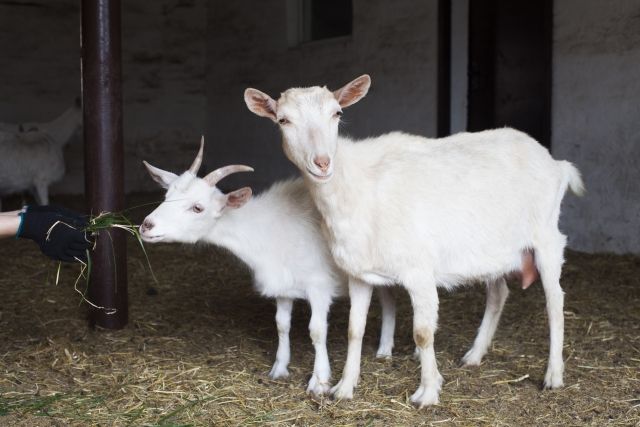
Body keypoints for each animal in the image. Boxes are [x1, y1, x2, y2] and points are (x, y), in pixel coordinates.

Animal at [139, 139, 398, 396]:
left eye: (197, 207)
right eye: (166, 195)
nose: (146, 226)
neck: (269, 229)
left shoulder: (319, 286)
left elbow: (316, 330)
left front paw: (319, 381)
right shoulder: (283, 285)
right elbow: (281, 324)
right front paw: (279, 368)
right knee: (388, 300)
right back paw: (384, 350)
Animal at [244, 75, 584, 410]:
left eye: (337, 114)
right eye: (284, 120)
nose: (323, 163)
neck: (358, 187)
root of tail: (556, 163)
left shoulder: (419, 270)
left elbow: (422, 334)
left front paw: (428, 393)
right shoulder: (358, 273)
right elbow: (355, 330)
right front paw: (344, 388)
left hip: (546, 237)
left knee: (555, 302)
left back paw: (553, 376)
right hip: (494, 251)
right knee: (499, 294)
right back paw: (474, 355)